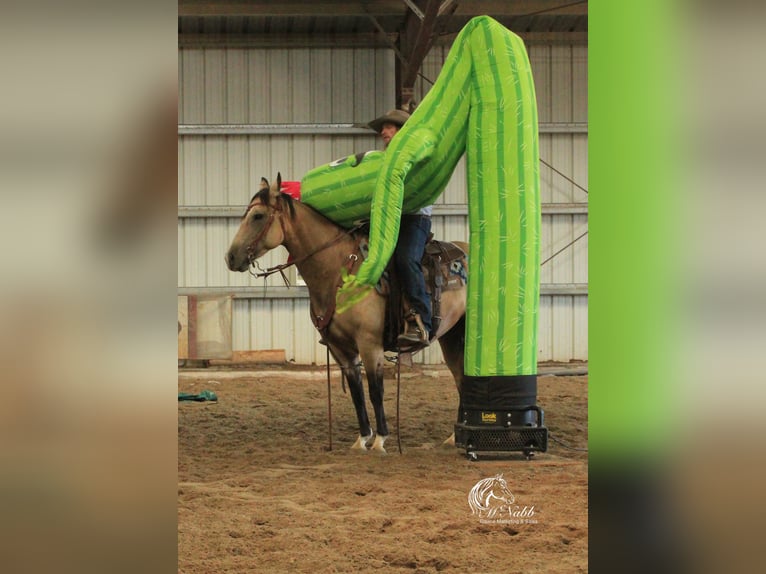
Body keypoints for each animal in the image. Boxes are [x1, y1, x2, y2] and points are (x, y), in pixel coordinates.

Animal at [225, 176, 472, 454]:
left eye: (257, 216)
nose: (230, 257)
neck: (339, 271)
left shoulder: (369, 344)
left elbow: (375, 390)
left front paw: (381, 440)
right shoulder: (340, 348)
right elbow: (356, 393)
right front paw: (362, 439)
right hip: (451, 336)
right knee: (461, 377)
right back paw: (454, 438)